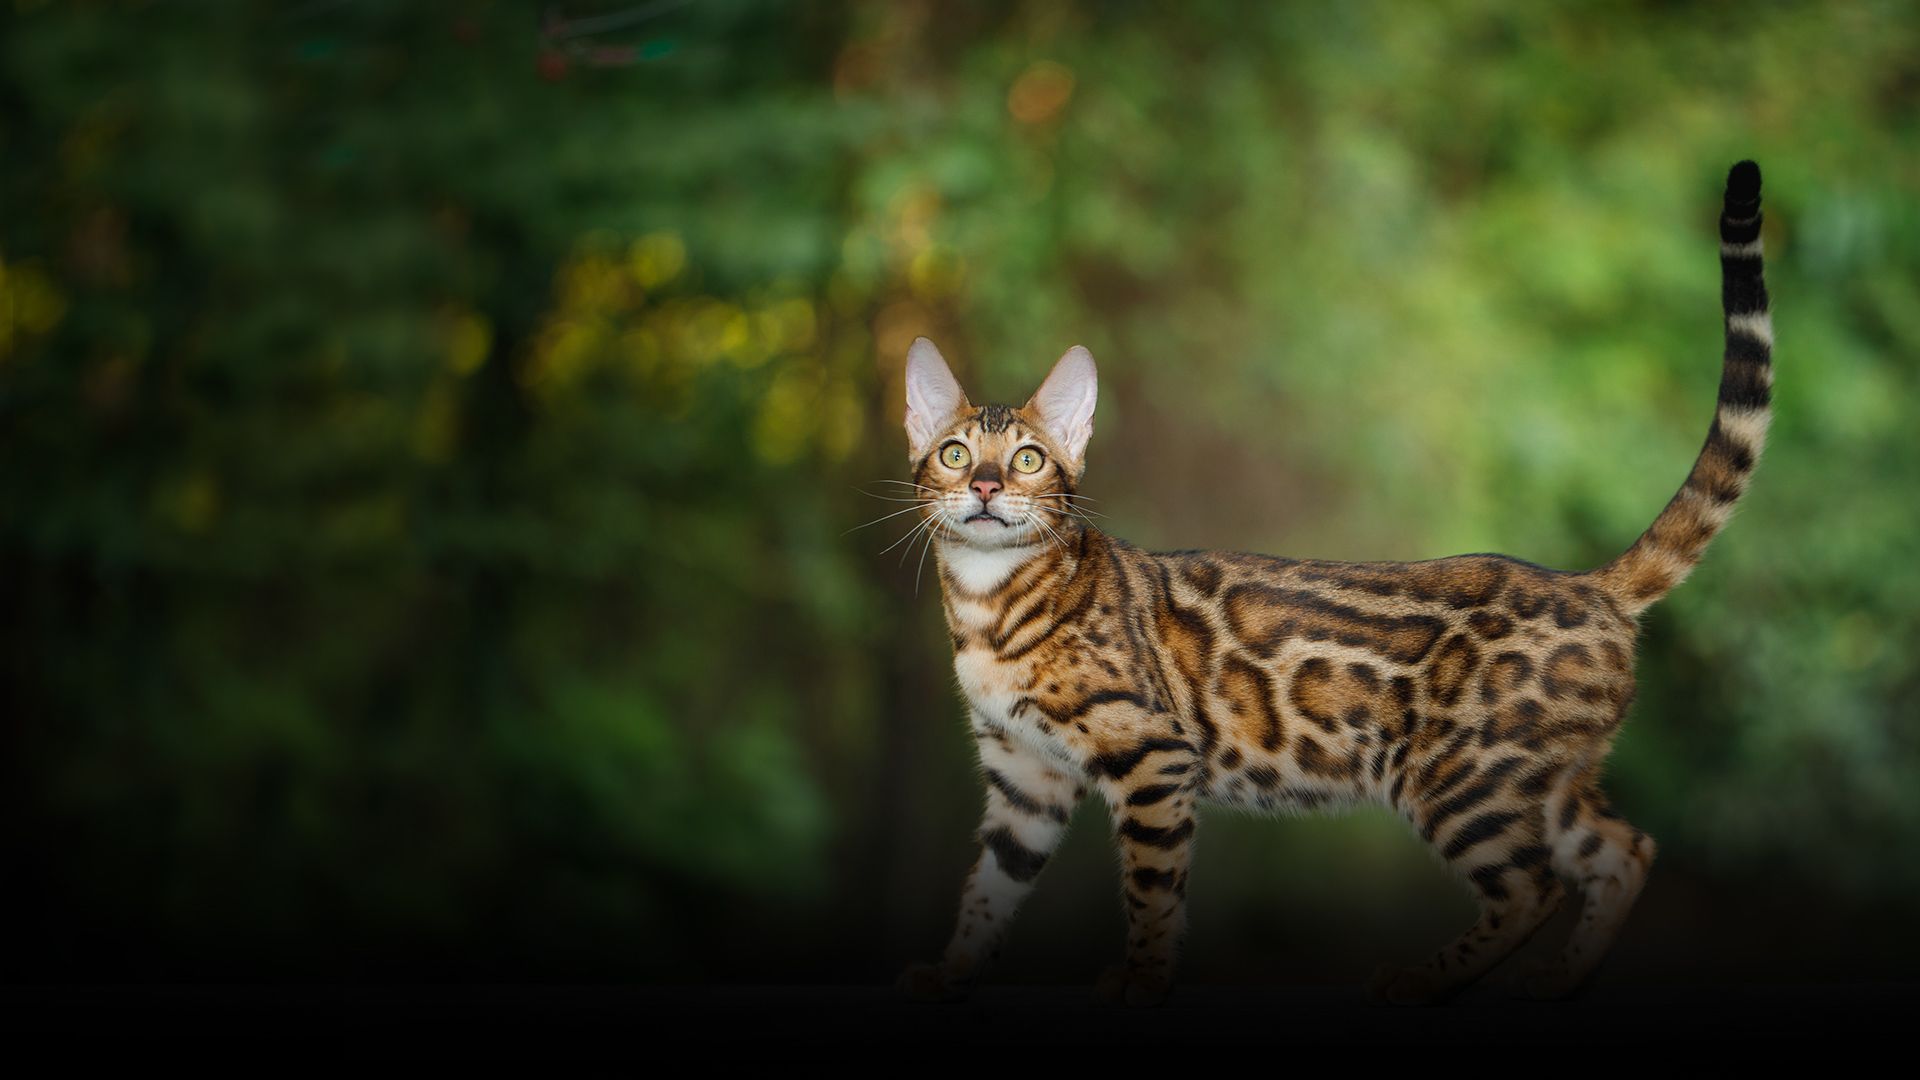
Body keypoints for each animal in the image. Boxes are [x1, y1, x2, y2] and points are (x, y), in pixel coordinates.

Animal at [890, 159, 1774, 999]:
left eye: (1029, 459)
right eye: (955, 454)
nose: (986, 487)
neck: (989, 602)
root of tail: (1589, 586)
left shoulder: (1153, 754)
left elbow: (1152, 888)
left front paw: (1142, 978)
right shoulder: (1024, 778)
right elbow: (990, 889)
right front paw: (953, 970)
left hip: (1459, 783)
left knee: (1535, 887)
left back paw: (1425, 978)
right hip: (1541, 783)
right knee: (1625, 849)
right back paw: (1555, 980)